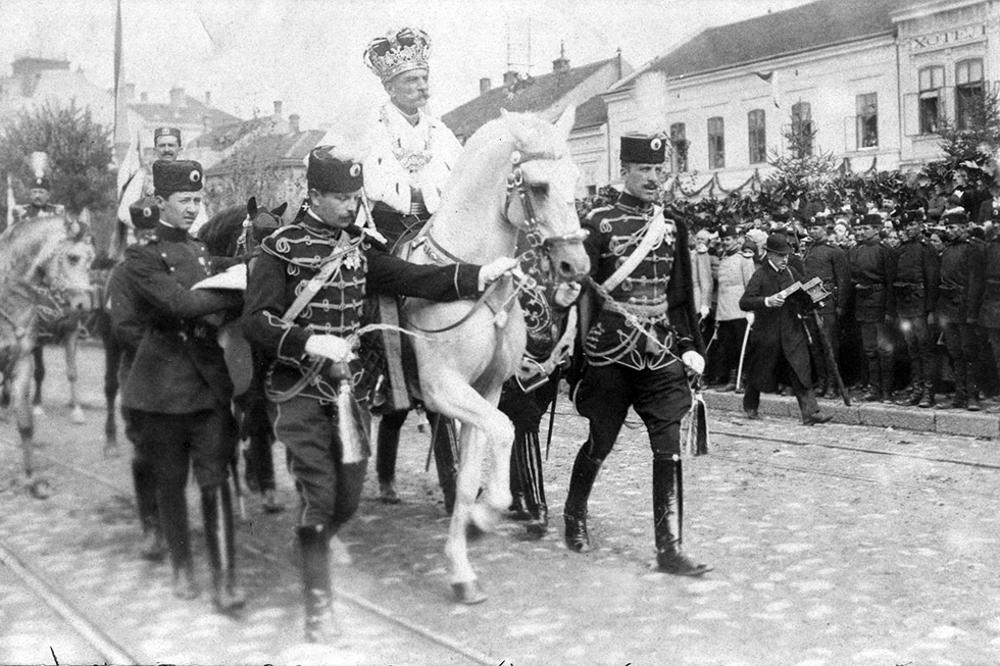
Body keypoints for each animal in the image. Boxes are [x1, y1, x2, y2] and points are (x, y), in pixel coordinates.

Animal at [402, 106, 588, 600]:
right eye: (539, 186)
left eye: (576, 179)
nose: (576, 267)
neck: (473, 278)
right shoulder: (443, 388)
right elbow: (504, 431)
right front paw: (485, 517)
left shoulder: (483, 390)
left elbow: (471, 476)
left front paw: (462, 561)